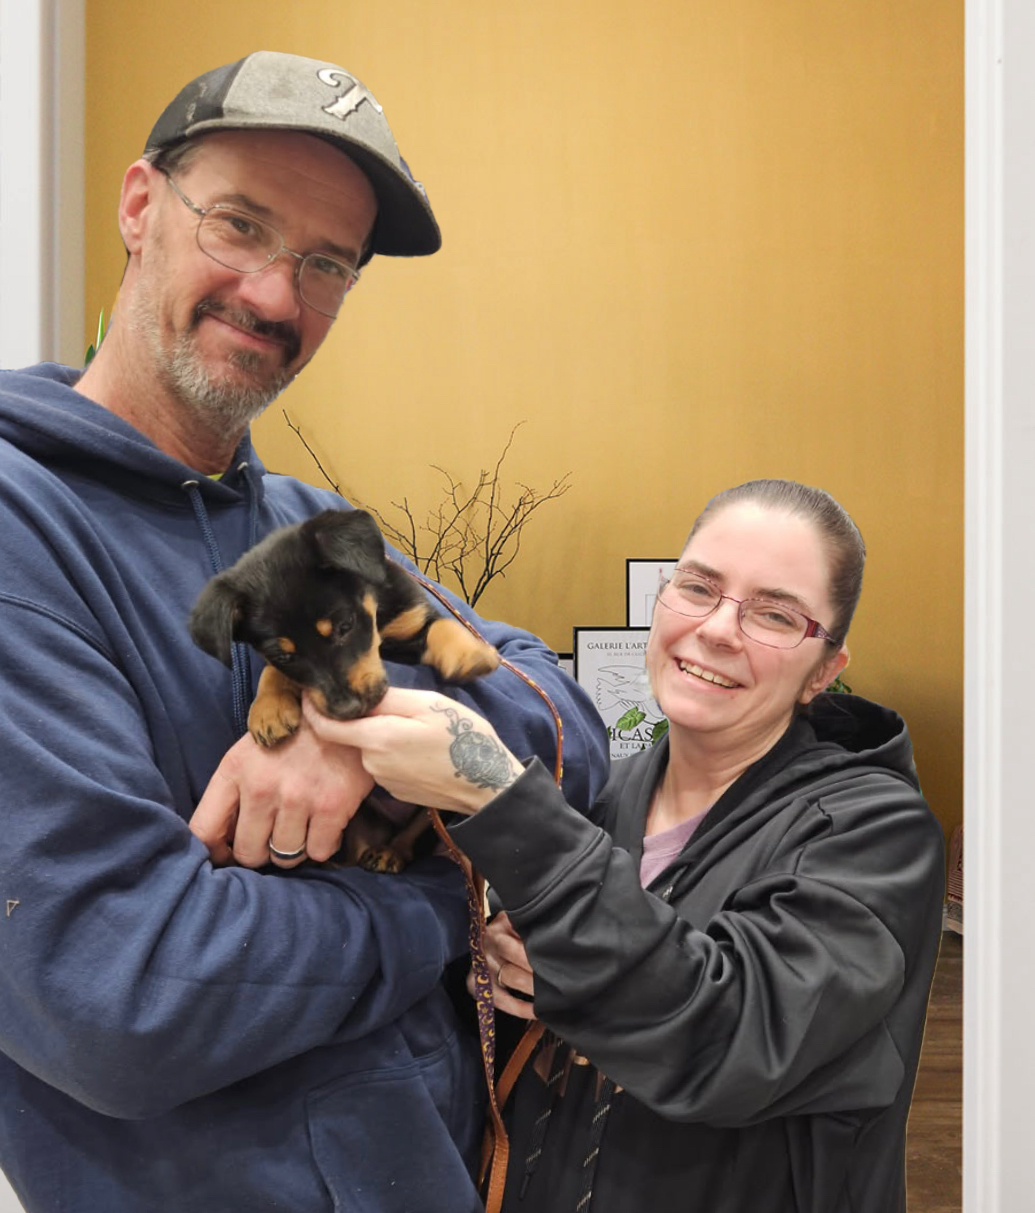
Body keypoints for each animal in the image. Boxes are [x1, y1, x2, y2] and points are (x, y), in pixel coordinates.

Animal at [189, 508, 500, 870]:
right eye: (284, 654)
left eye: (345, 626)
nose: (349, 709)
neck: (379, 621)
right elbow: (272, 672)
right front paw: (269, 710)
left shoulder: (413, 617)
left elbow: (442, 625)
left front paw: (471, 653)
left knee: (417, 827)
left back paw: (392, 852)